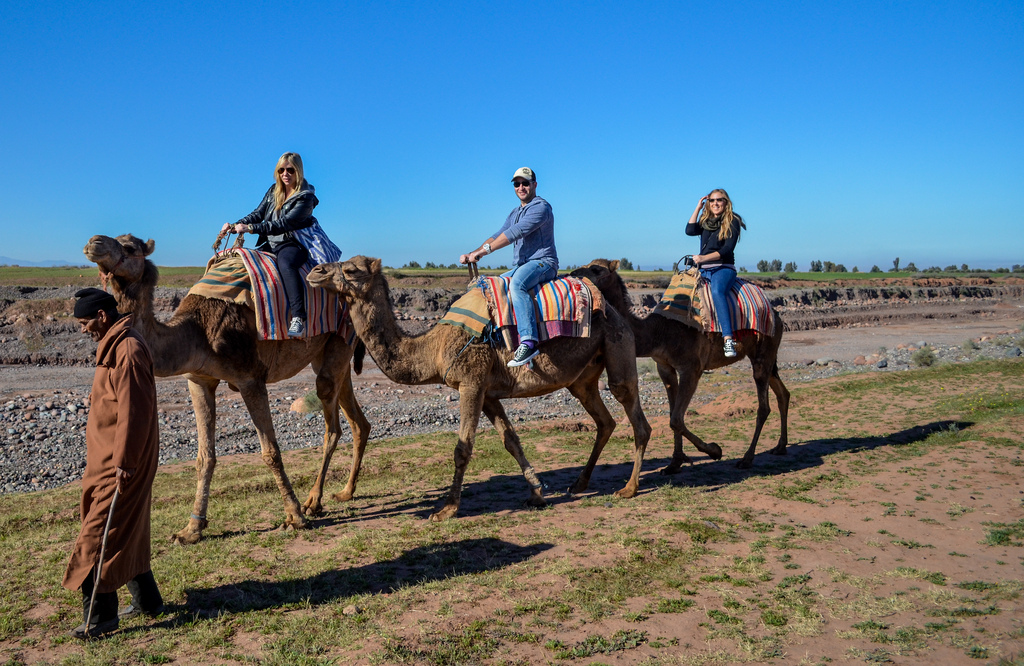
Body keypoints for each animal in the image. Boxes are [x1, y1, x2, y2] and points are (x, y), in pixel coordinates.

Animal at [83, 234, 371, 544]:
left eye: (129, 247)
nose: (93, 242)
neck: (197, 331)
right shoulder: (198, 380)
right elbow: (204, 457)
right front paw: (191, 530)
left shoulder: (250, 378)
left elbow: (271, 452)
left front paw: (294, 517)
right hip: (331, 354)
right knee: (358, 421)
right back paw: (345, 492)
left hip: (338, 345)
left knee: (333, 424)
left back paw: (312, 502)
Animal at [305, 257, 652, 520]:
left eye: (352, 270)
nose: (315, 271)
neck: (433, 347)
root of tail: (616, 311)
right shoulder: (488, 392)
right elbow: (511, 440)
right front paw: (537, 493)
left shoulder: (470, 383)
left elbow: (462, 449)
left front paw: (446, 509)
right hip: (582, 380)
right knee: (604, 420)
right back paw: (579, 484)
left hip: (617, 345)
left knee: (636, 418)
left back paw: (629, 488)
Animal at [571, 260, 789, 469]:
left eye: (597, 269)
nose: (573, 274)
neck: (658, 332)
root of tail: (776, 315)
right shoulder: (665, 367)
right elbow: (672, 416)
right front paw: (675, 463)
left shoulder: (691, 369)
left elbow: (676, 419)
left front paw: (714, 450)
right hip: (765, 356)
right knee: (782, 393)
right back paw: (780, 447)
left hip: (764, 350)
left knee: (763, 406)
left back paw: (747, 458)